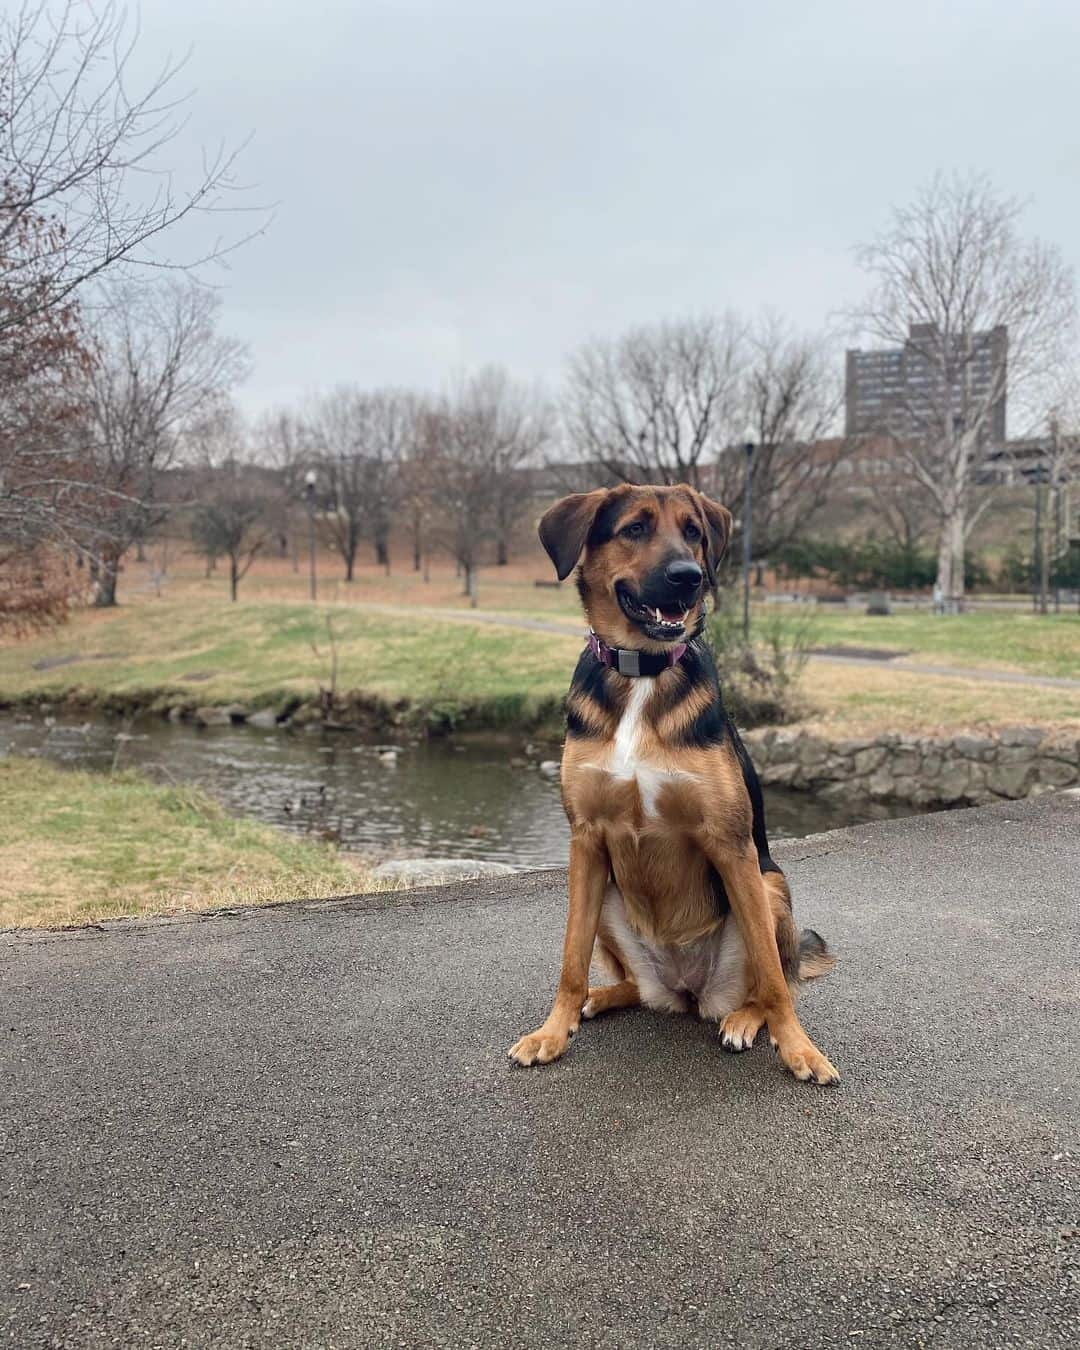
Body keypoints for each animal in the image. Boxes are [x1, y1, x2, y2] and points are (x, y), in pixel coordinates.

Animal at [510, 486, 837, 1085]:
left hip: (769, 888)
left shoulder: (731, 846)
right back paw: (600, 997)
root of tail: (686, 990)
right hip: (609, 895)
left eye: (693, 532)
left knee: (771, 978)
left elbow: (775, 980)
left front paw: (800, 1049)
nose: (689, 577)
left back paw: (744, 1019)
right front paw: (552, 1031)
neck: (642, 671)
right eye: (635, 529)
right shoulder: (586, 842)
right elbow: (570, 958)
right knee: (635, 986)